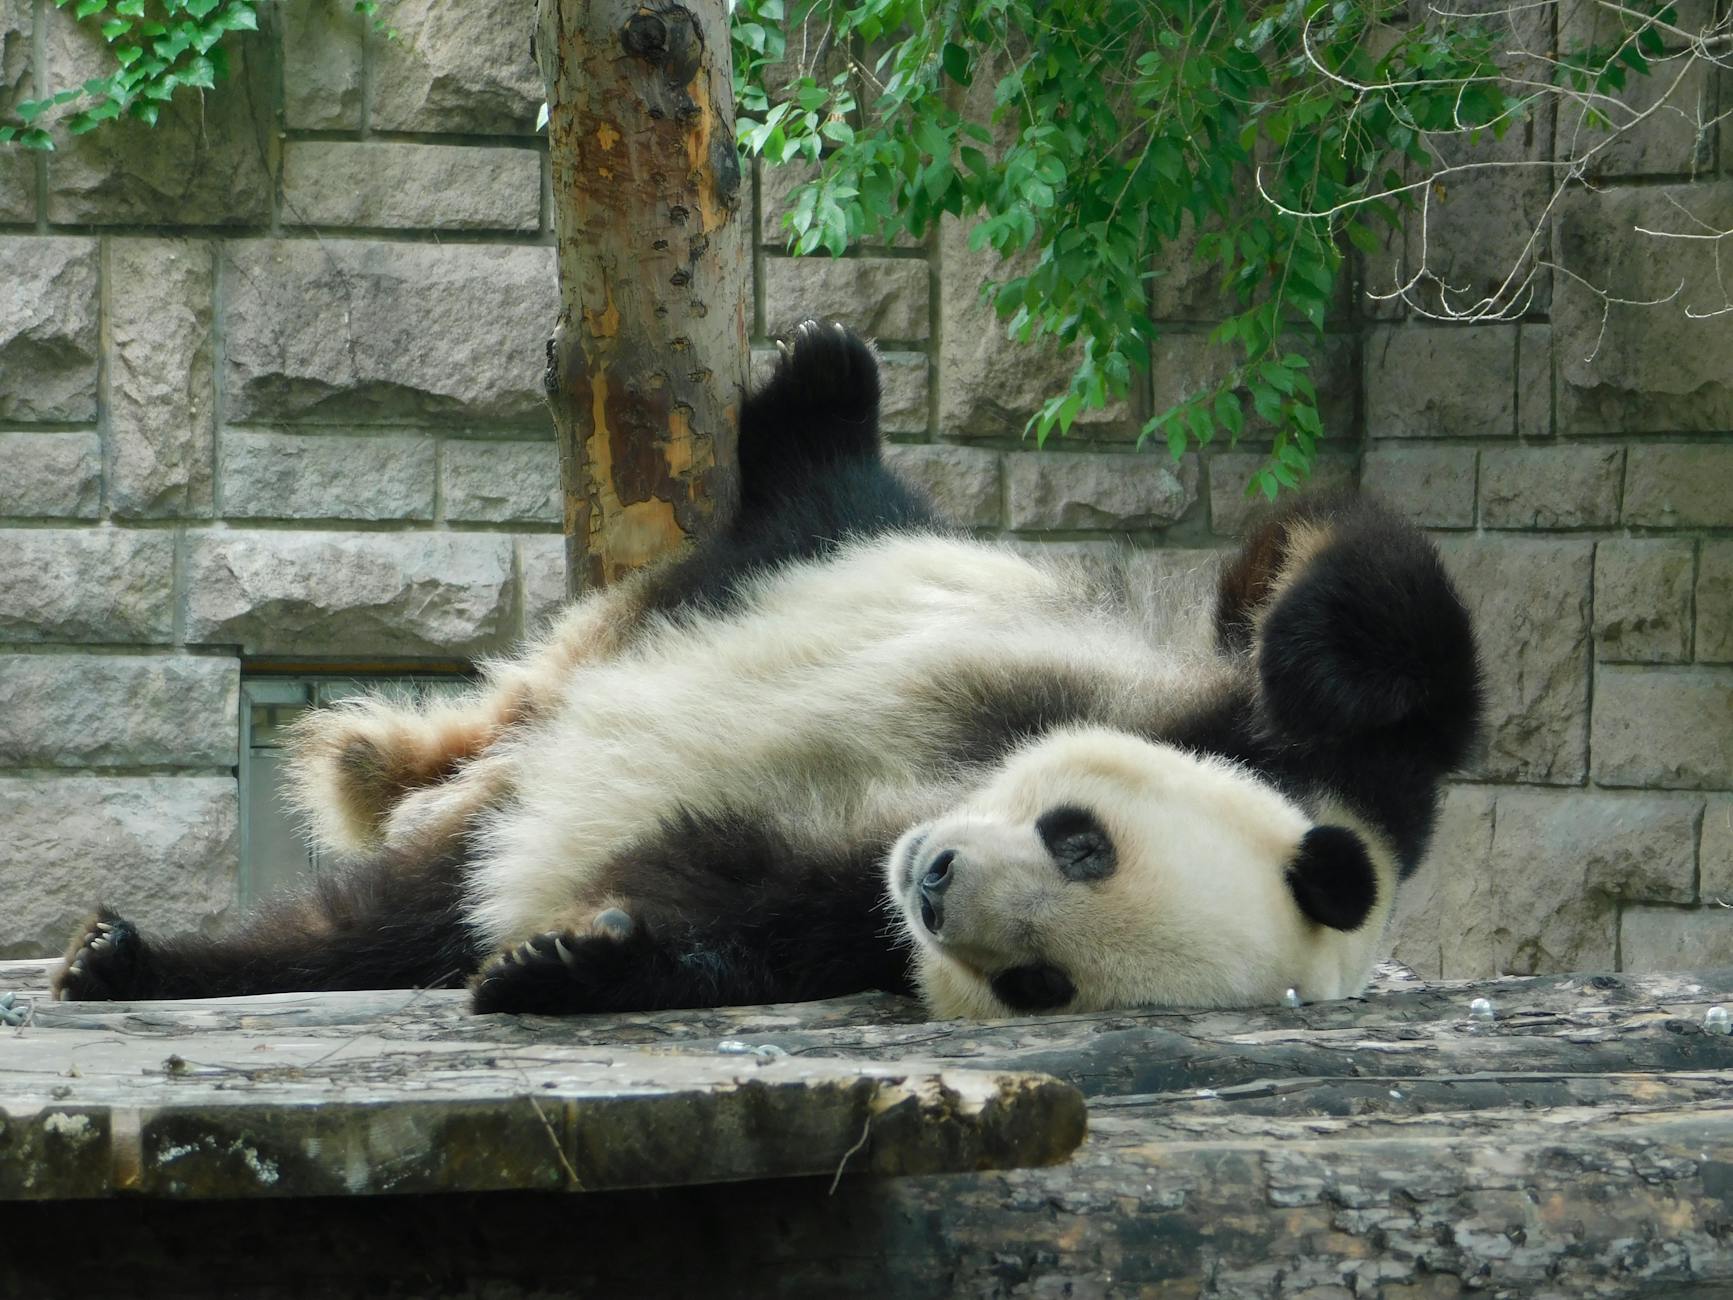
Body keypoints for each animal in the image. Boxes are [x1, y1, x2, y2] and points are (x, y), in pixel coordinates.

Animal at [53, 322, 1483, 1019]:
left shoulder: (838, 910)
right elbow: (1347, 592)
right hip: (824, 556)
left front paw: (570, 965)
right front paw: (1317, 655)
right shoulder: (1280, 740)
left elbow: (732, 909)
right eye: (1083, 842)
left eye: (1041, 983)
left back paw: (142, 961)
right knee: (826, 492)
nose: (936, 879)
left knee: (382, 921)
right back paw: (825, 385)